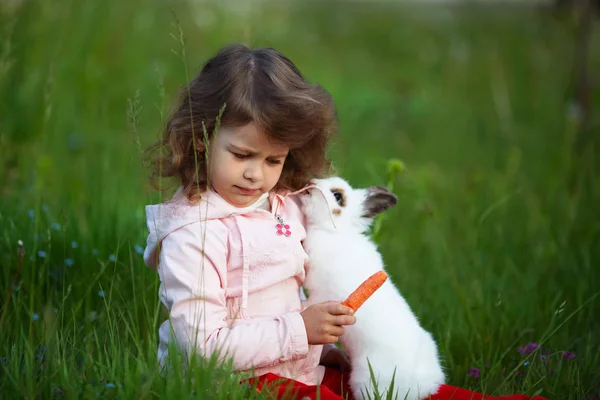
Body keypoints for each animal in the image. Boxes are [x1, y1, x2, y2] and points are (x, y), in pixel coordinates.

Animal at [300, 177, 446, 400]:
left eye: (337, 196)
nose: (311, 183)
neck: (335, 232)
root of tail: (422, 388)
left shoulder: (321, 295)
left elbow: (309, 304)